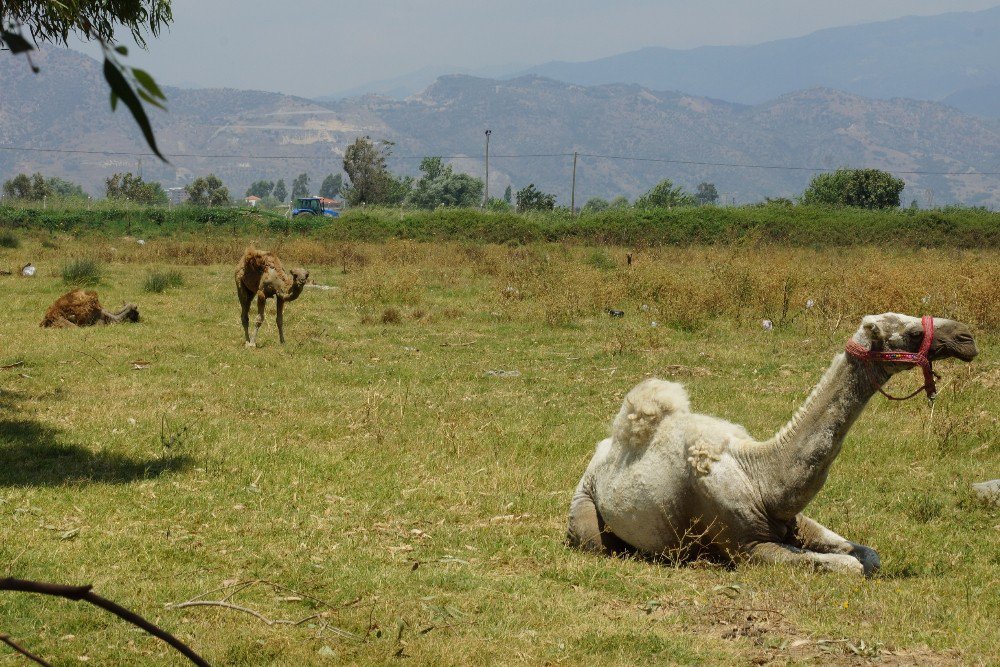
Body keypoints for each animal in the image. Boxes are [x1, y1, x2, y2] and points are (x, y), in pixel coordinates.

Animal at [572, 316, 976, 576]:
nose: (967, 337)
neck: (762, 476)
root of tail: (601, 449)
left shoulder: (791, 519)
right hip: (584, 508)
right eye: (911, 332)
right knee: (594, 541)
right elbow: (848, 566)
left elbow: (869, 556)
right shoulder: (749, 547)